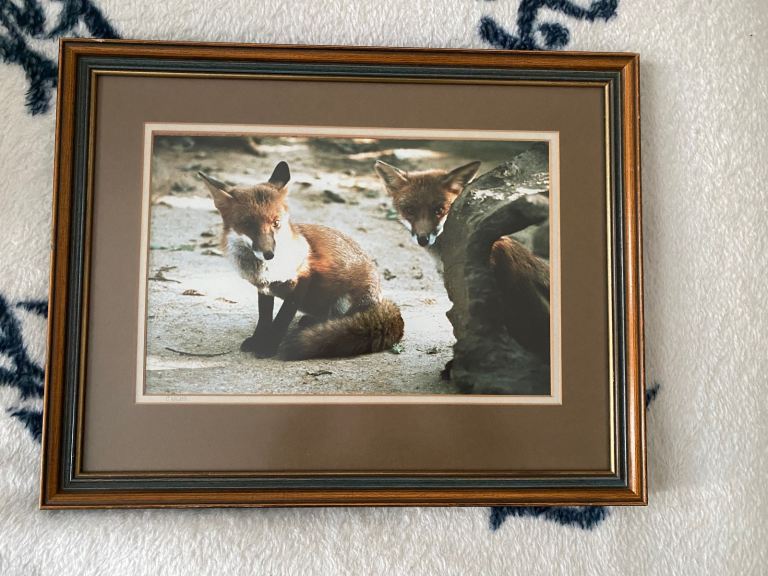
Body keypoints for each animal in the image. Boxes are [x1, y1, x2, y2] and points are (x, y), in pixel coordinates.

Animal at [199, 161, 404, 360]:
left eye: (276, 223)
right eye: (248, 225)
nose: (269, 254)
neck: (266, 270)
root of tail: (380, 299)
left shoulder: (302, 281)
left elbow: (281, 320)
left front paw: (269, 346)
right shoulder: (264, 288)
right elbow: (264, 318)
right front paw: (258, 339)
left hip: (344, 302)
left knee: (339, 319)